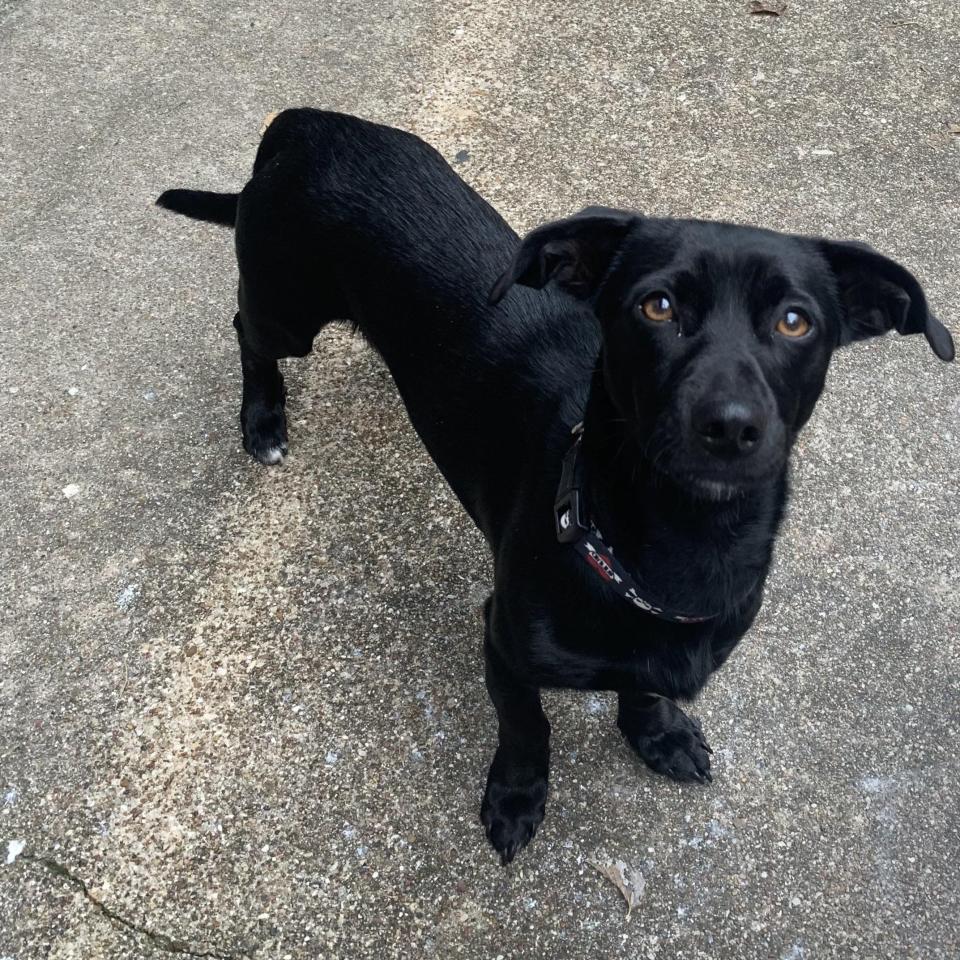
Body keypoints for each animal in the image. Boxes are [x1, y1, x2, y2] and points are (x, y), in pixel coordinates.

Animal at [158, 107, 952, 864]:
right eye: (657, 306)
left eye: (795, 321)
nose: (728, 426)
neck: (681, 548)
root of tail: (304, 124)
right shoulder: (503, 644)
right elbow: (526, 727)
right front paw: (517, 799)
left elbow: (643, 688)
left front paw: (657, 734)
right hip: (286, 308)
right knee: (246, 328)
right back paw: (262, 418)